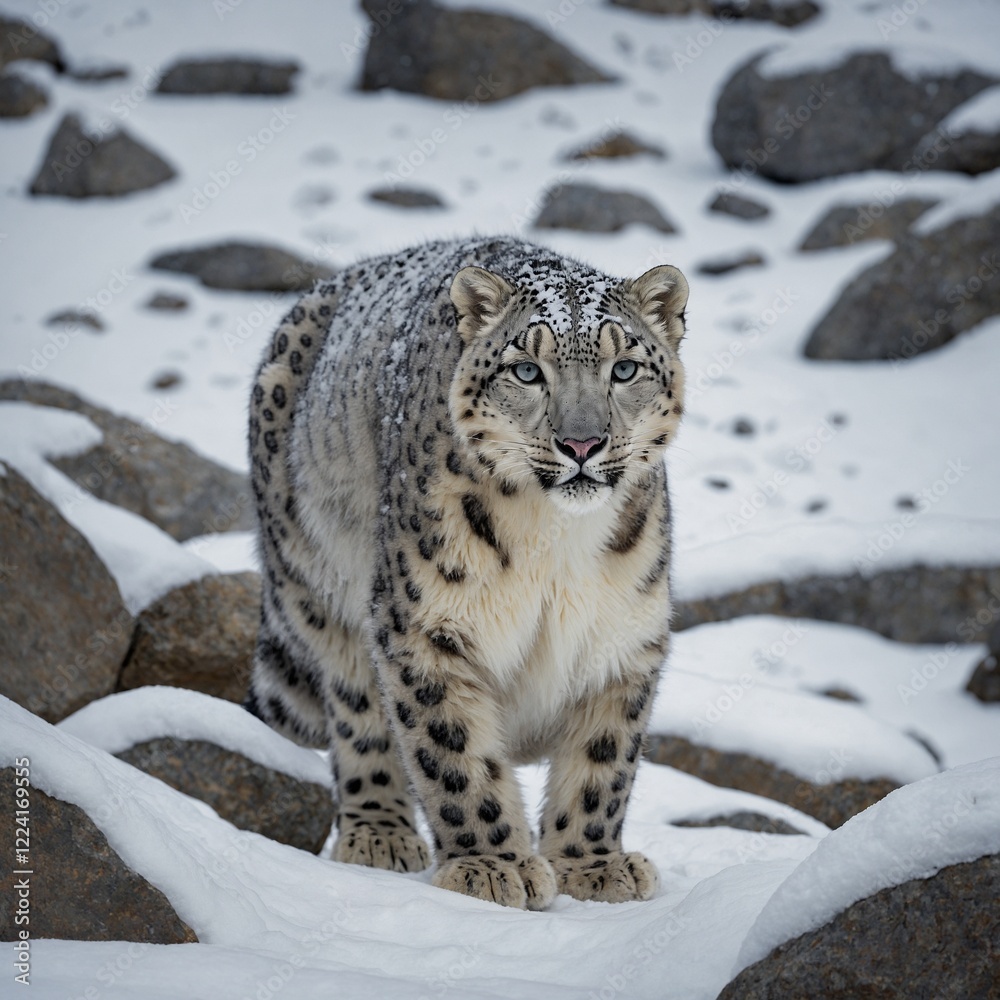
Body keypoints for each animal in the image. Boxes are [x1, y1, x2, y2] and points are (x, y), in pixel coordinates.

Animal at [245, 235, 689, 910]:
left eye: (625, 369)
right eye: (526, 371)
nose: (582, 444)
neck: (556, 546)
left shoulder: (623, 634)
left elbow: (603, 761)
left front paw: (593, 867)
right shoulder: (427, 626)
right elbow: (453, 751)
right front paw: (492, 866)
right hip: (316, 582)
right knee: (356, 709)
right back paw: (380, 834)